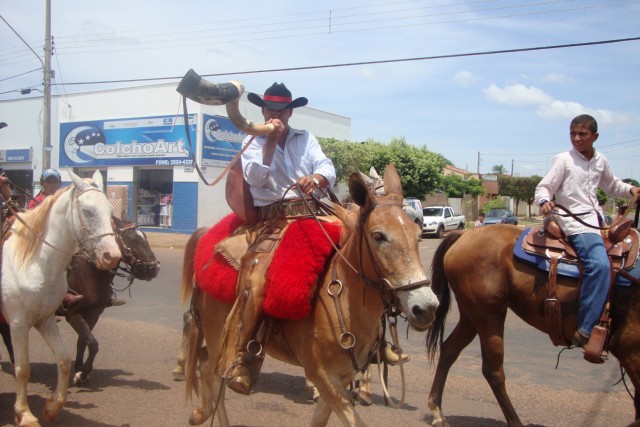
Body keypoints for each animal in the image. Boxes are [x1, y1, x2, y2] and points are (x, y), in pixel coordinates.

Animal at [0, 171, 121, 427]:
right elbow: (23, 368)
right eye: (88, 211)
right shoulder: (18, 322)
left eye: (110, 212)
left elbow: (64, 361)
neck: (34, 262)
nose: (112, 256)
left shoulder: (45, 319)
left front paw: (52, 408)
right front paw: (24, 414)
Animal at [64, 216, 160, 386]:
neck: (89, 272)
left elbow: (84, 341)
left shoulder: (93, 313)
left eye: (145, 236)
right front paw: (83, 372)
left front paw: (79, 370)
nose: (153, 269)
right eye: (131, 237)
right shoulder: (72, 313)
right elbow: (93, 344)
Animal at [180, 165, 440, 427]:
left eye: (418, 235)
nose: (425, 307)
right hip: (218, 334)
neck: (344, 299)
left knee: (205, 363)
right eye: (378, 236)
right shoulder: (322, 374)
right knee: (211, 371)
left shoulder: (341, 377)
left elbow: (322, 419)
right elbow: (353, 420)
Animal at [424, 226, 640, 426]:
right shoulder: (629, 349)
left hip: (471, 316)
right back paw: (514, 420)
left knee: (449, 350)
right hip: (488, 315)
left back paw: (438, 410)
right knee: (493, 371)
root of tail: (465, 234)